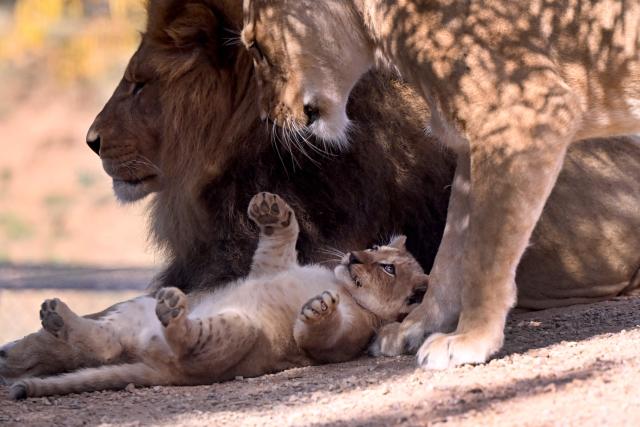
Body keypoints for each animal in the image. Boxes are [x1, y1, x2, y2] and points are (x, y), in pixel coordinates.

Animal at [7, 193, 428, 400]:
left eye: (388, 269)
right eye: (374, 248)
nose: (353, 256)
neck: (339, 283)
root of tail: (154, 365)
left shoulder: (343, 340)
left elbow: (319, 336)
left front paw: (319, 308)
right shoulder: (270, 267)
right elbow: (280, 240)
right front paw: (270, 208)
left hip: (237, 329)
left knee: (184, 343)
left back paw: (173, 311)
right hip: (135, 309)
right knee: (107, 345)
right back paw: (56, 316)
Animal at [241, 0, 640, 368]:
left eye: (255, 46)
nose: (266, 117)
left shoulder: (525, 119)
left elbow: (484, 255)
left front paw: (471, 337)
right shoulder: (468, 148)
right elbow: (450, 259)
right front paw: (412, 329)